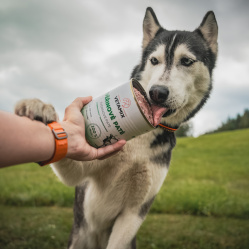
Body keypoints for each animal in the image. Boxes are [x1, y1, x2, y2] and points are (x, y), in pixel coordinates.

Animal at [15, 6, 218, 249]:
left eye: (186, 61)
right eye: (154, 60)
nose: (156, 92)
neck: (141, 138)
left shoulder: (134, 213)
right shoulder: (81, 173)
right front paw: (40, 108)